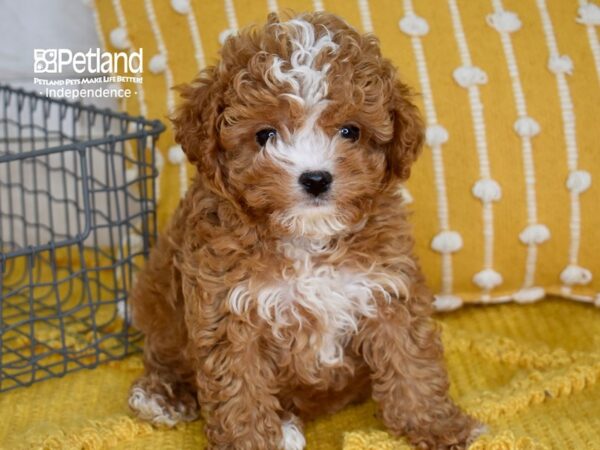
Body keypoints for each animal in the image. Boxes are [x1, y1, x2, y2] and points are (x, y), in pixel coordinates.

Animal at [129, 10, 486, 450]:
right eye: (265, 135)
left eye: (350, 131)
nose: (316, 179)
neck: (308, 239)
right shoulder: (227, 309)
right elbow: (240, 390)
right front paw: (252, 441)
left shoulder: (387, 287)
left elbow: (411, 362)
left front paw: (439, 425)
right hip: (158, 300)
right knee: (164, 357)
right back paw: (164, 397)